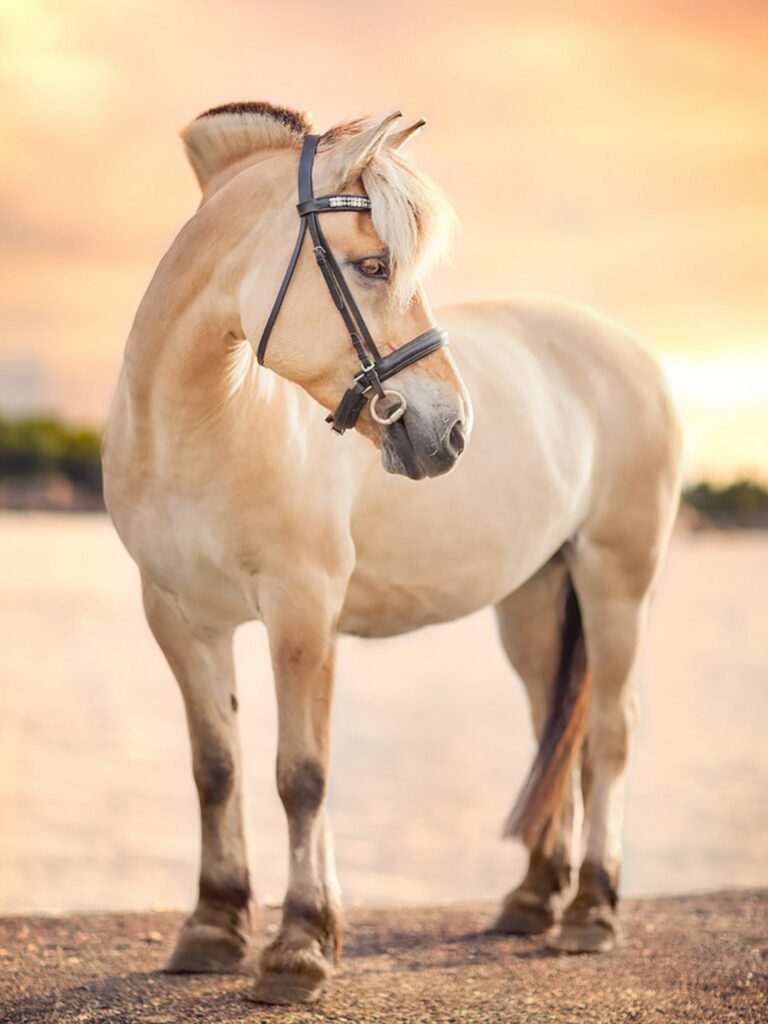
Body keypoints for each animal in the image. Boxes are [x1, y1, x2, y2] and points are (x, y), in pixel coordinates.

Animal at [102, 101, 682, 1005]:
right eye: (372, 264)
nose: (452, 431)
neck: (201, 426)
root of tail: (636, 355)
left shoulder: (302, 611)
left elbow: (301, 774)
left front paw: (300, 949)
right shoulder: (178, 618)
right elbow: (217, 768)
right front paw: (213, 927)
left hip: (617, 581)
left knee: (610, 734)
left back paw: (591, 910)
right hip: (534, 599)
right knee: (552, 730)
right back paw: (531, 899)